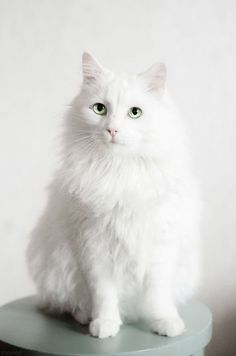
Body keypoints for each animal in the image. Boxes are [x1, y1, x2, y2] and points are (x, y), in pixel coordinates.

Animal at [27, 52, 201, 340]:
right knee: (69, 304)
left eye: (135, 113)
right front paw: (105, 324)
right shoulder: (93, 246)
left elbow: (159, 294)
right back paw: (86, 317)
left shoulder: (160, 246)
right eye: (99, 109)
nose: (112, 130)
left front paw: (166, 322)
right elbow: (103, 293)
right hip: (57, 270)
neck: (119, 170)